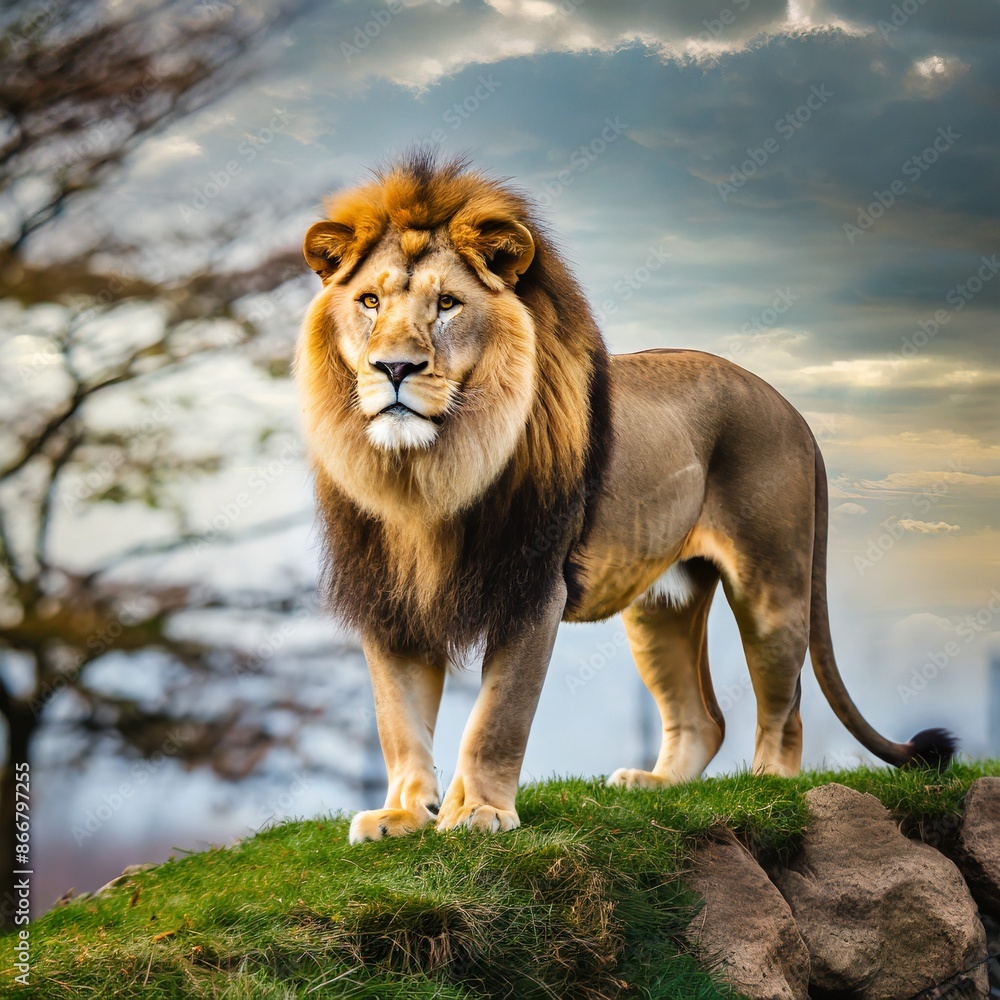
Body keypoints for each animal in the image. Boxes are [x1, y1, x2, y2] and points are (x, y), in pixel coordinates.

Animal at [296, 153, 956, 844]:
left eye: (447, 303)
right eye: (370, 301)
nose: (394, 367)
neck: (424, 477)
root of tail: (789, 407)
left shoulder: (534, 585)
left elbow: (497, 717)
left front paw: (479, 811)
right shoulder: (386, 596)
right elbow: (397, 721)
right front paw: (402, 814)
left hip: (772, 586)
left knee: (788, 703)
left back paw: (769, 784)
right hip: (662, 604)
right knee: (703, 717)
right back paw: (656, 785)